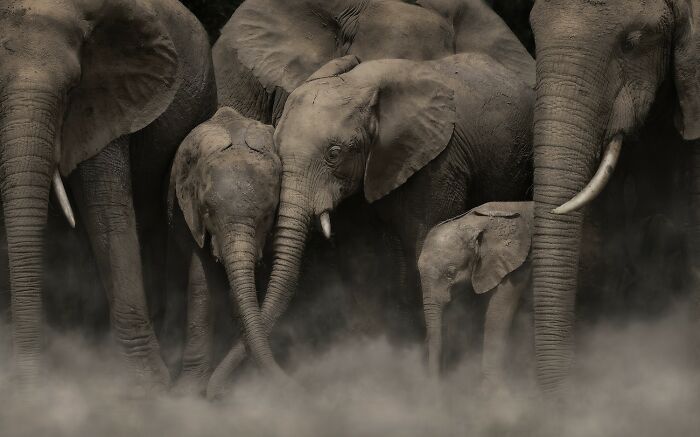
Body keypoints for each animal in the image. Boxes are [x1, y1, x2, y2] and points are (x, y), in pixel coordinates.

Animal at [0, 0, 217, 390]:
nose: (29, 383)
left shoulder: (110, 101)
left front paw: (148, 385)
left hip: (201, 105)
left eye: (72, 88)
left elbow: (106, 211)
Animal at [167, 106, 281, 392]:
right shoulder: (188, 214)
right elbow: (201, 275)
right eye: (207, 211)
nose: (215, 393)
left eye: (268, 216)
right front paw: (187, 392)